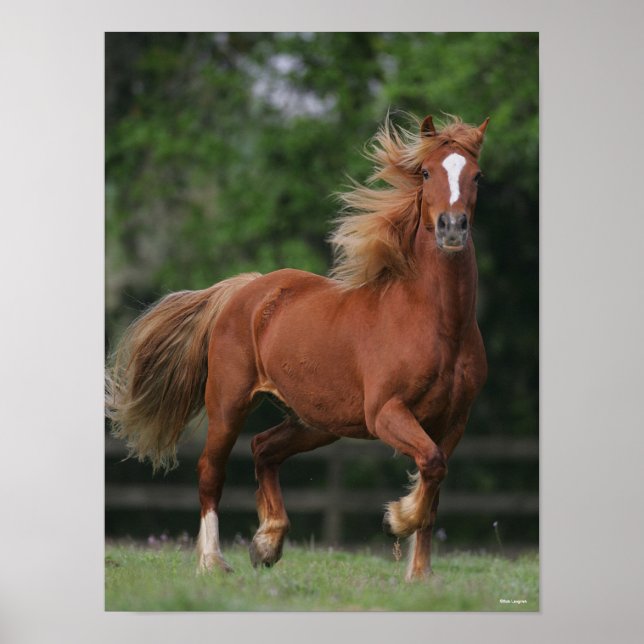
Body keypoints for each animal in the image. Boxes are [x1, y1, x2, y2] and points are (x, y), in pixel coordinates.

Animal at [106, 113, 490, 582]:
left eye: (477, 175)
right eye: (427, 172)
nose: (452, 229)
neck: (437, 325)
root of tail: (244, 289)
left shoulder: (454, 421)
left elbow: (434, 483)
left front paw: (419, 576)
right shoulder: (386, 412)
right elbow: (431, 467)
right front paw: (396, 519)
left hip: (316, 420)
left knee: (263, 448)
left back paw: (267, 543)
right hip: (229, 404)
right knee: (211, 472)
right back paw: (213, 562)